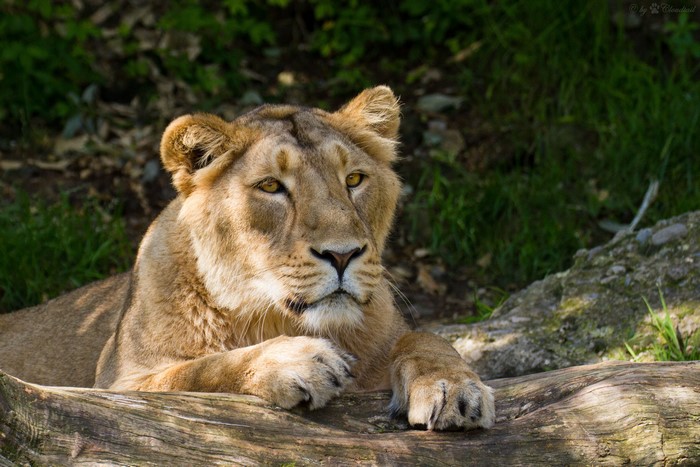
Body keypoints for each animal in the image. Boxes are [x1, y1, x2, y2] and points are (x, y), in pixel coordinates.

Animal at [0, 86, 494, 430]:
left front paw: (454, 386)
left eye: (354, 179)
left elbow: (425, 337)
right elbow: (199, 372)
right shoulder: (120, 387)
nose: (343, 254)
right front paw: (295, 361)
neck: (277, 316)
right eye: (271, 186)